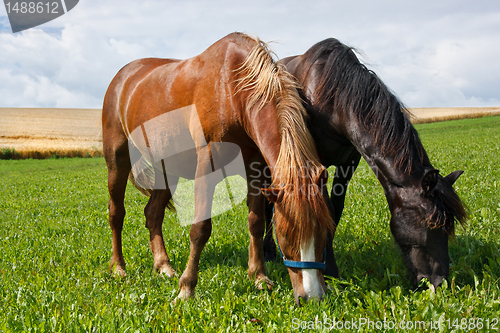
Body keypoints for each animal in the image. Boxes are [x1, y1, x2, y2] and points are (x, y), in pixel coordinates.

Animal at [101, 32, 332, 302]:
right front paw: (187, 288)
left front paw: (259, 277)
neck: (233, 90)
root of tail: (122, 77)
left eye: (325, 232)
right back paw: (119, 267)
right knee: (116, 213)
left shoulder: (256, 173)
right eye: (285, 234)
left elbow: (255, 223)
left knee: (153, 213)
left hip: (167, 168)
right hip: (117, 160)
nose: (313, 296)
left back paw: (163, 265)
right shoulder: (206, 168)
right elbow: (200, 229)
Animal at [266, 38, 468, 288]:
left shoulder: (349, 163)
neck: (334, 101)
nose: (439, 282)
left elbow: (335, 209)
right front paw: (329, 269)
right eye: (432, 224)